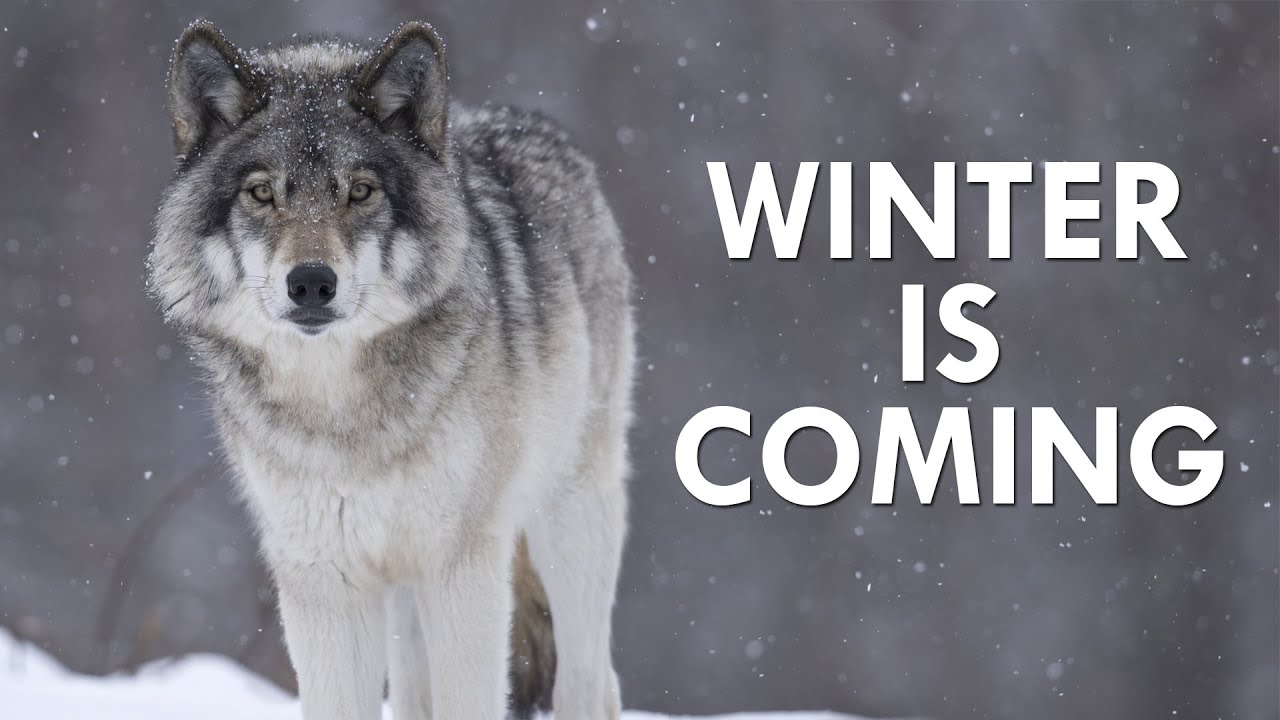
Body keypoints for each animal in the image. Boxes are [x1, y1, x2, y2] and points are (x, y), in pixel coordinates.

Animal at [147, 19, 633, 720]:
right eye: (262, 193)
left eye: (360, 191)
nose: (311, 283)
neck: (340, 415)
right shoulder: (323, 584)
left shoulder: (462, 569)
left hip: (568, 519)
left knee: (591, 681)